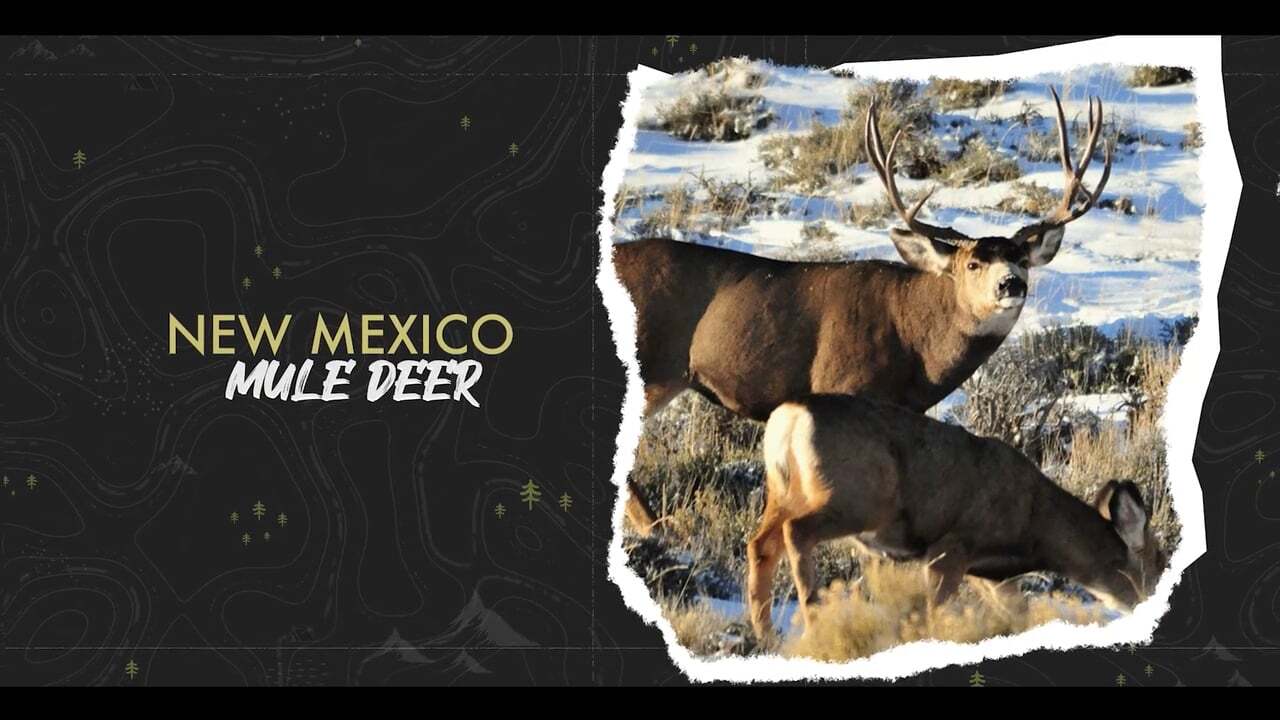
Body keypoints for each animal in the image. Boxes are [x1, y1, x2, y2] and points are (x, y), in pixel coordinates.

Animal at [613, 87, 1113, 534]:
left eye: (1022, 258)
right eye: (972, 263)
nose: (1012, 284)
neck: (916, 345)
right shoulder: (839, 384)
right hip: (653, 365)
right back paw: (658, 528)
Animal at [747, 394, 1167, 639]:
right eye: (1160, 562)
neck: (1035, 524)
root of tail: (790, 417)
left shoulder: (989, 574)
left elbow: (1018, 613)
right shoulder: (951, 547)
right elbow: (936, 612)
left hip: (784, 491)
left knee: (760, 543)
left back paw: (767, 633)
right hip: (856, 498)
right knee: (797, 531)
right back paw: (814, 616)